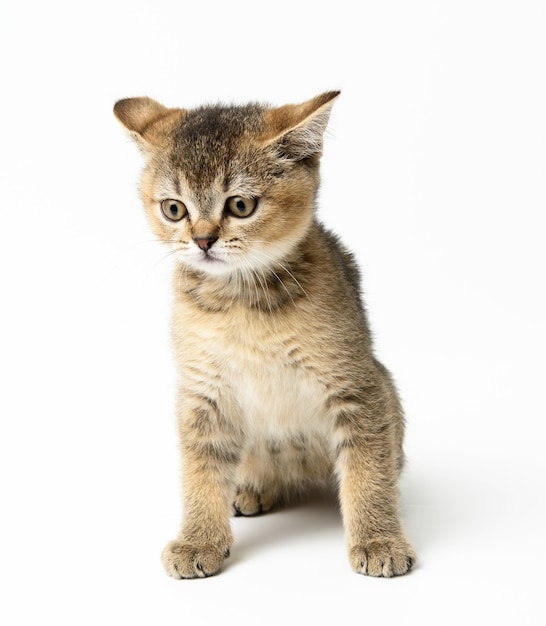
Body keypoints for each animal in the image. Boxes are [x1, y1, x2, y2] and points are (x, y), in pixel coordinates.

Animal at [112, 91, 414, 576]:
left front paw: (378, 539)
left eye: (240, 206)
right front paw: (198, 540)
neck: (240, 302)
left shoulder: (357, 385)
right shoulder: (201, 394)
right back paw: (252, 488)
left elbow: (367, 467)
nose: (202, 240)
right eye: (174, 209)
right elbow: (199, 472)